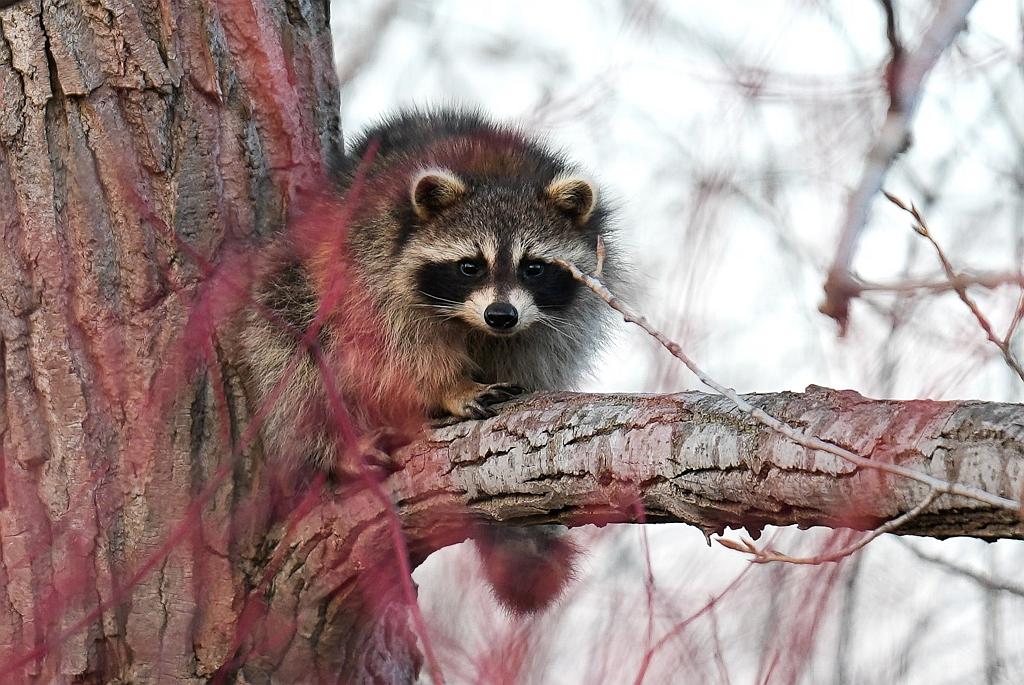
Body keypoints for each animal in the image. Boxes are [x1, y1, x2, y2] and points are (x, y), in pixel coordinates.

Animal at [239, 108, 627, 613]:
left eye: (534, 267)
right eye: (470, 266)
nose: (501, 314)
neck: (501, 175)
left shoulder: (565, 310)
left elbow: (538, 352)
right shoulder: (371, 265)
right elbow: (398, 347)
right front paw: (449, 387)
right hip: (291, 288)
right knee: (294, 358)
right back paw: (333, 443)